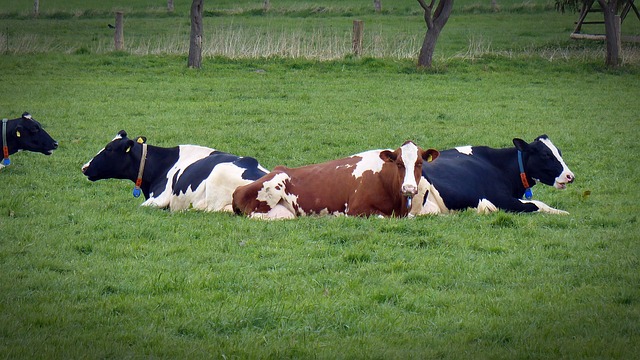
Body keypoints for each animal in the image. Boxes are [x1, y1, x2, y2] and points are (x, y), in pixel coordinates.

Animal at [232, 141, 438, 219]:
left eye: (420, 163)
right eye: (399, 164)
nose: (409, 188)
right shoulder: (356, 209)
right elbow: (382, 216)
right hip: (272, 188)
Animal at [412, 134, 576, 214]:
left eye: (559, 152)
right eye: (545, 155)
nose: (570, 176)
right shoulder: (502, 200)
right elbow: (537, 204)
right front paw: (562, 212)